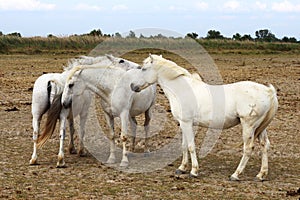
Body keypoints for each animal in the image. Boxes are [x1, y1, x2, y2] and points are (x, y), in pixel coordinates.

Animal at [130, 54, 278, 180]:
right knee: (265, 145)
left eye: (143, 69)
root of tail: (268, 91)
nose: (132, 86)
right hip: (260, 127)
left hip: (248, 126)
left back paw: (235, 175)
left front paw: (194, 171)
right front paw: (182, 168)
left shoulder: (187, 123)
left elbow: (191, 146)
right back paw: (261, 175)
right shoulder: (183, 124)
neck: (182, 89)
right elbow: (184, 145)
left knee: (248, 148)